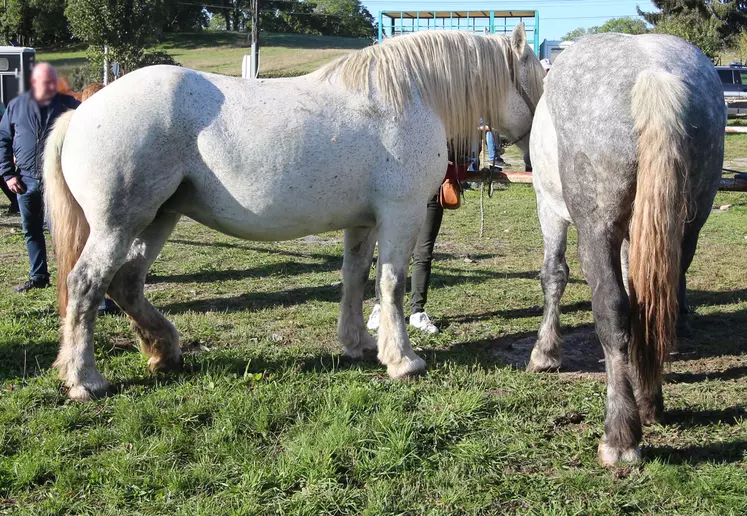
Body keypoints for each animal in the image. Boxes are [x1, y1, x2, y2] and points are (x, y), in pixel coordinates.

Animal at [43, 26, 544, 402]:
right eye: (539, 79)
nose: (540, 151)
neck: (409, 97)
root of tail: (84, 110)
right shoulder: (401, 216)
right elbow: (391, 285)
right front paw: (403, 359)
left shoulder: (363, 222)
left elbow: (355, 278)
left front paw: (359, 344)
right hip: (119, 225)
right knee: (86, 285)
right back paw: (85, 379)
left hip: (158, 218)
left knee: (126, 283)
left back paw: (163, 350)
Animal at [524, 34, 724, 466]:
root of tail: (653, 73)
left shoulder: (549, 210)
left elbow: (553, 276)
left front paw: (545, 353)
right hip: (686, 227)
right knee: (657, 305)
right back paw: (649, 401)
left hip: (596, 229)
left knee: (612, 311)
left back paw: (620, 436)